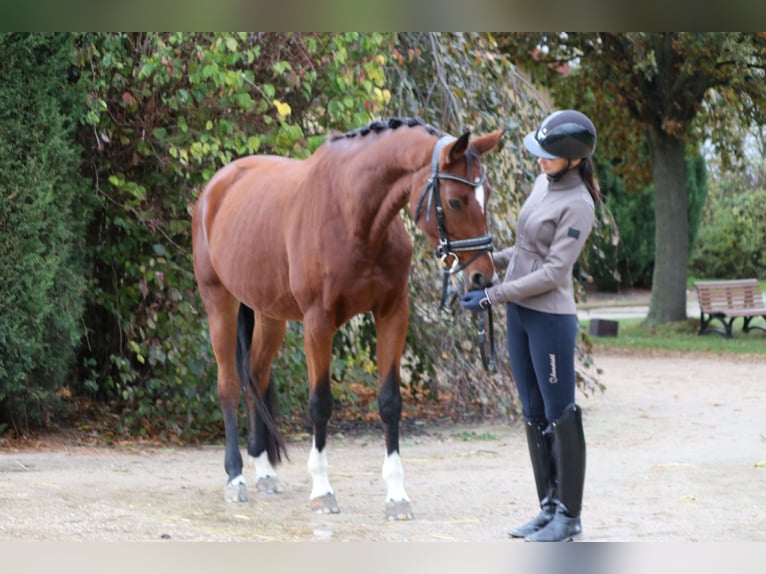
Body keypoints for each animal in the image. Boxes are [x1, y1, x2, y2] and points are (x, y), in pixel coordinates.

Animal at [192, 117, 503, 520]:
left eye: (486, 196)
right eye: (454, 201)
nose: (483, 276)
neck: (354, 217)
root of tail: (217, 186)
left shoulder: (392, 313)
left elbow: (390, 402)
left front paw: (396, 496)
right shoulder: (318, 323)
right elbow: (320, 404)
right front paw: (323, 491)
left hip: (269, 314)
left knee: (254, 378)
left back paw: (263, 471)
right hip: (219, 302)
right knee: (229, 385)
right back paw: (235, 477)